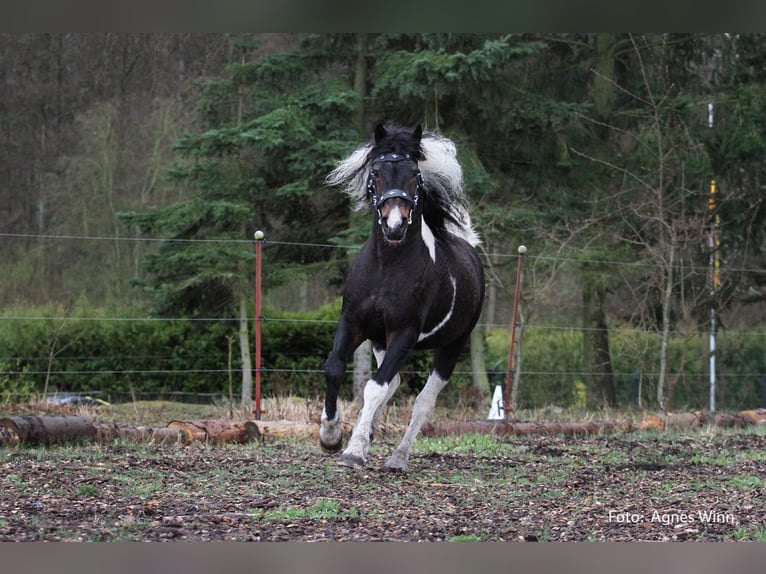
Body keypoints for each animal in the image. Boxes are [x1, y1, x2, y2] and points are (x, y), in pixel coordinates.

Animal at [318, 125, 486, 472]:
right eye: (376, 172)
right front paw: (330, 436)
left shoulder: (405, 333)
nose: (394, 225)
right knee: (393, 383)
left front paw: (354, 451)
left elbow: (376, 387)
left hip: (452, 345)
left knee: (423, 402)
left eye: (415, 175)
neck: (388, 266)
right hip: (380, 340)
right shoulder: (353, 322)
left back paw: (397, 458)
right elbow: (335, 368)